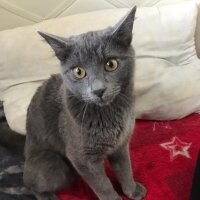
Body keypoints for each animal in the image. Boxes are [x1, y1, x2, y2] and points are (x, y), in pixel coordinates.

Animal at [23, 7, 146, 200]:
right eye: (78, 72)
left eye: (111, 64)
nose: (98, 90)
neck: (110, 115)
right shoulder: (81, 159)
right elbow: (103, 185)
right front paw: (114, 197)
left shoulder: (121, 144)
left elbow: (125, 168)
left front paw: (132, 191)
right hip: (54, 167)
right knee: (29, 182)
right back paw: (47, 196)